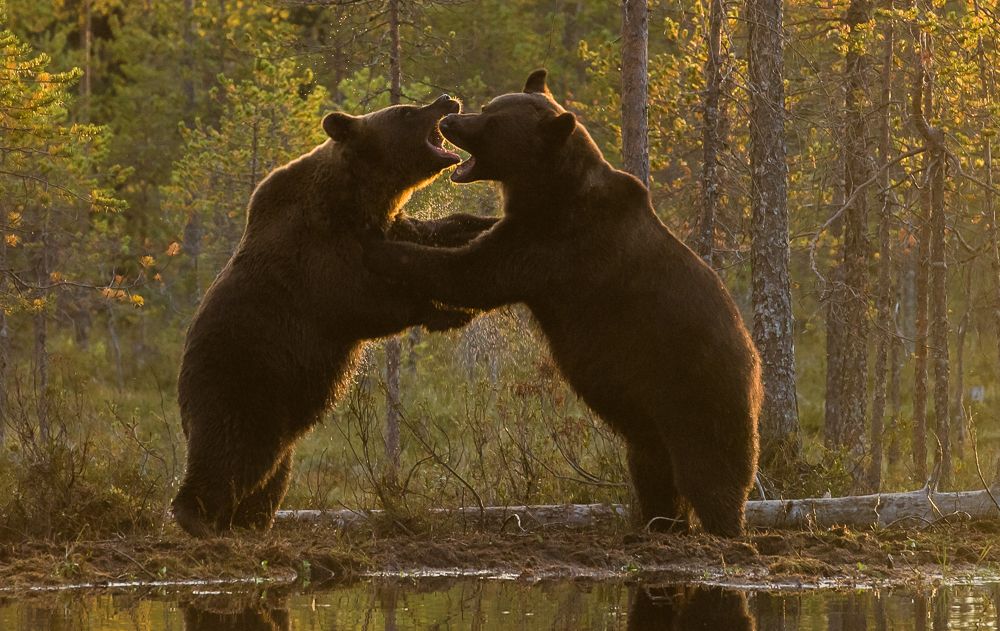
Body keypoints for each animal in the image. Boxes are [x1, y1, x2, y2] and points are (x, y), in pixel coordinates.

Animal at [172, 94, 497, 538]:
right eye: (406, 111)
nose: (447, 99)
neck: (356, 198)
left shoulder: (383, 227)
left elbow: (430, 236)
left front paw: (485, 223)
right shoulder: (317, 261)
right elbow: (365, 302)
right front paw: (451, 312)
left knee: (270, 471)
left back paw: (249, 522)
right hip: (241, 382)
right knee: (230, 453)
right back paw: (196, 517)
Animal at [364, 71, 761, 537]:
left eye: (491, 120)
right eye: (487, 107)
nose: (452, 119)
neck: (547, 190)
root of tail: (756, 368)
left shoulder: (556, 247)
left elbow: (472, 274)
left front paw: (381, 248)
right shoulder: (530, 233)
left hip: (698, 395)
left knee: (709, 474)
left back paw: (724, 532)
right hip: (651, 423)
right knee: (653, 470)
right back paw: (659, 527)